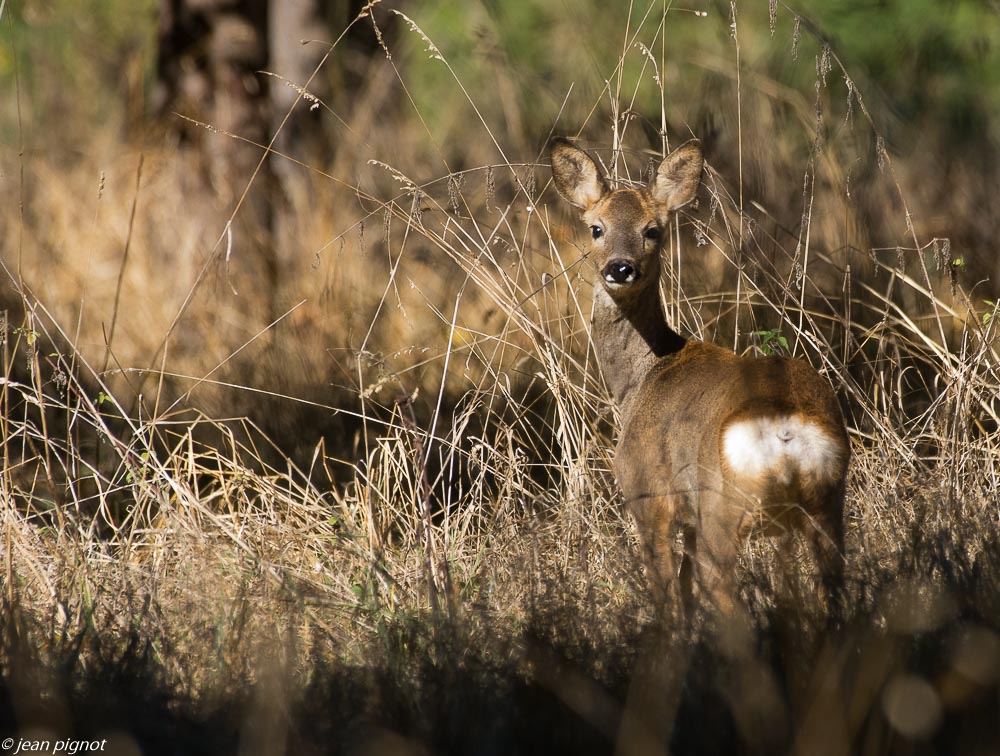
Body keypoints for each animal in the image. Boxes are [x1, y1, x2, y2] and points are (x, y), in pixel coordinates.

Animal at [552, 137, 848, 616]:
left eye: (653, 230)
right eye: (595, 228)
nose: (620, 268)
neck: (642, 376)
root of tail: (786, 430)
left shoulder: (648, 496)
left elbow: (670, 599)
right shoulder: (689, 517)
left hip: (723, 506)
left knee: (720, 590)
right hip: (828, 504)